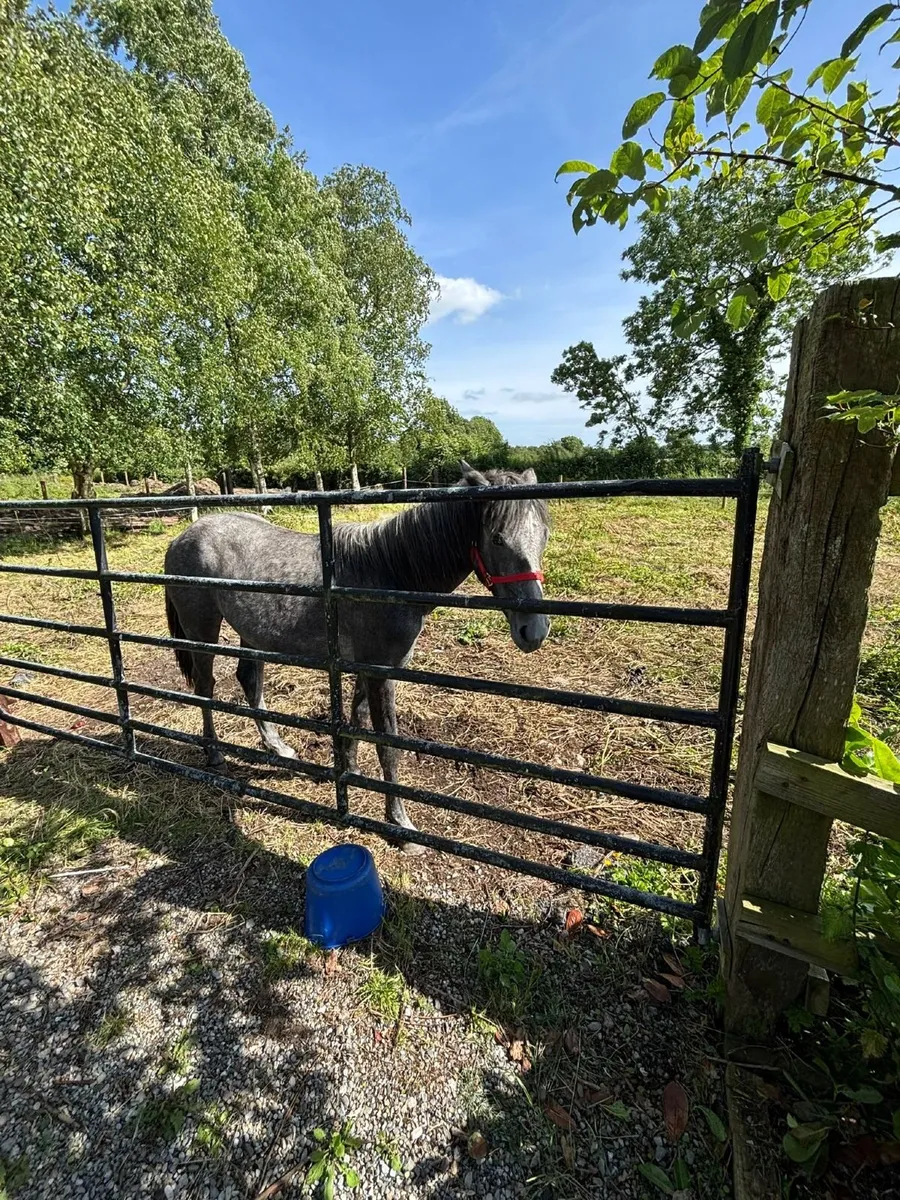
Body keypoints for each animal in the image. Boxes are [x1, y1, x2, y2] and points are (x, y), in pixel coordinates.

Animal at [162, 463, 550, 848]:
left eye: (544, 535)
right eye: (497, 538)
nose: (534, 630)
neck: (390, 575)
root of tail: (182, 537)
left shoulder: (368, 668)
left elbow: (357, 719)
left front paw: (350, 773)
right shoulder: (381, 672)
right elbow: (388, 745)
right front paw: (400, 824)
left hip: (251, 633)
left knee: (249, 680)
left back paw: (279, 748)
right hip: (202, 631)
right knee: (205, 687)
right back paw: (214, 753)